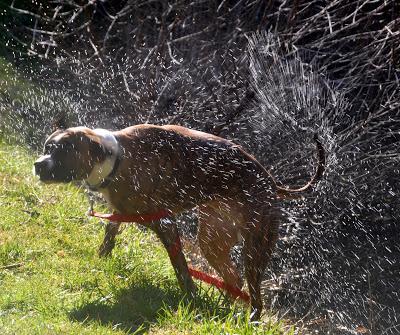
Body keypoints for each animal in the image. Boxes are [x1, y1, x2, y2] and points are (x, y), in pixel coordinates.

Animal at [32, 124, 324, 320]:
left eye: (61, 152)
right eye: (47, 148)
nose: (38, 164)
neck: (118, 158)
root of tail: (270, 182)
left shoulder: (165, 223)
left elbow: (181, 270)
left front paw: (191, 298)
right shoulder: (119, 211)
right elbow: (110, 234)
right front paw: (100, 259)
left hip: (255, 248)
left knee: (255, 296)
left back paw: (247, 318)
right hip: (213, 238)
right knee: (233, 278)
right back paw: (223, 307)